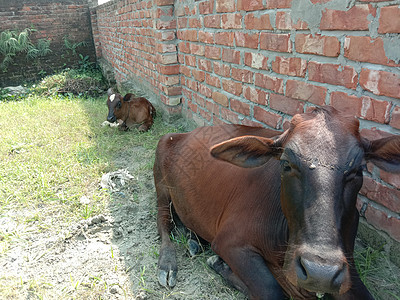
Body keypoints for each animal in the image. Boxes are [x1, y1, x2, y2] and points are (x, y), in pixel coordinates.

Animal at [154, 106, 400, 300]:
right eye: (286, 164)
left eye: (358, 170)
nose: (320, 272)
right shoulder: (230, 242)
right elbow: (271, 290)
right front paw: (220, 264)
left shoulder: (348, 267)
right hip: (161, 181)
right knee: (163, 221)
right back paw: (168, 264)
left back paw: (193, 239)